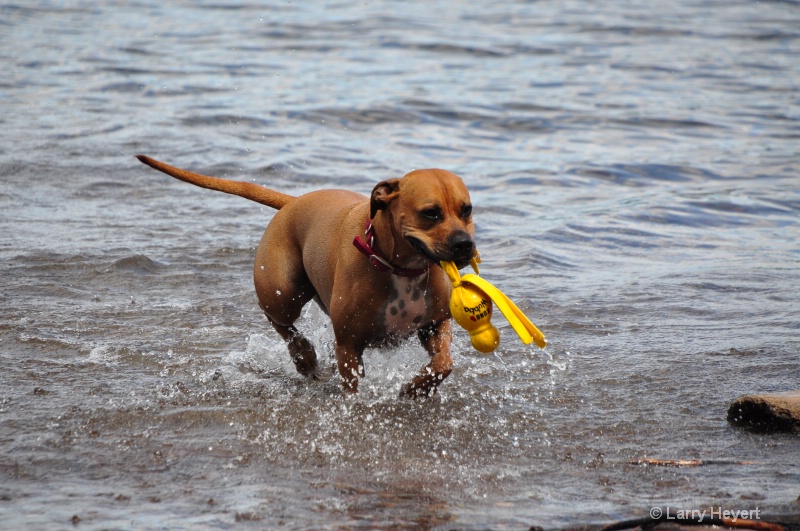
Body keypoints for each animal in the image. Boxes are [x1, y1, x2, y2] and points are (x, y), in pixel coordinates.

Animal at [137, 156, 476, 396]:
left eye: (467, 210)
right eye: (430, 213)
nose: (465, 244)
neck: (400, 267)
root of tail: (293, 201)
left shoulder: (434, 325)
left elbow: (443, 363)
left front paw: (416, 388)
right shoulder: (349, 345)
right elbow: (352, 390)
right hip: (284, 291)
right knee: (279, 320)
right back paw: (303, 356)